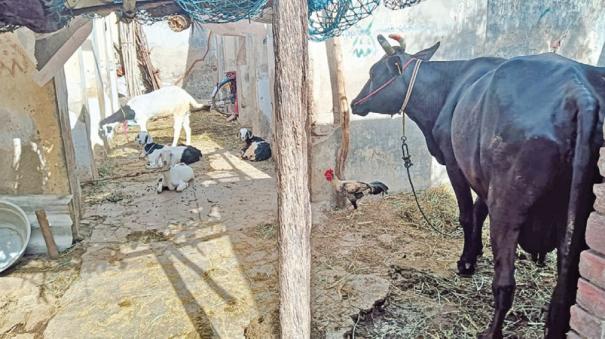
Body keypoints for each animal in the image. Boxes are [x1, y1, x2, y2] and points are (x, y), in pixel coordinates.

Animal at [350, 35, 604, 339]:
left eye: (374, 72)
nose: (354, 103)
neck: (446, 89)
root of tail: (577, 89)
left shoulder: (454, 163)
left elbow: (467, 215)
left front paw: (466, 262)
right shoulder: (481, 175)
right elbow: (478, 210)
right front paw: (475, 251)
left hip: (507, 204)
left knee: (505, 283)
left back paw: (490, 331)